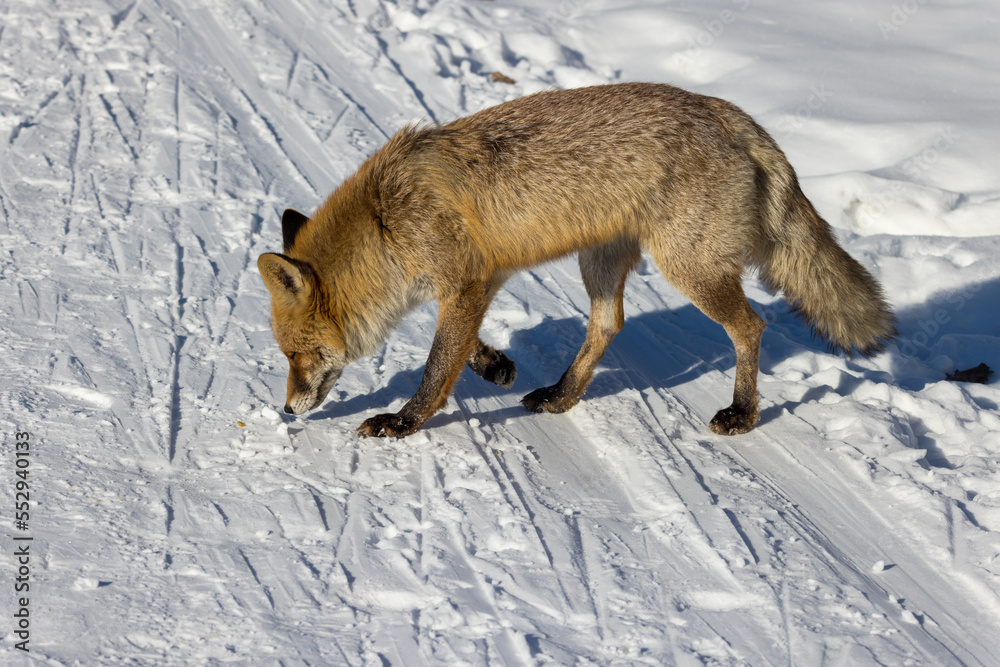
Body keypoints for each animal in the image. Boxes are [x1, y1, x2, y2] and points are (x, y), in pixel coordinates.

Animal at [257, 82, 895, 438]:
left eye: (294, 355)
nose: (286, 410)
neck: (386, 219)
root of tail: (726, 111)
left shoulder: (464, 280)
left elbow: (437, 367)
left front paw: (403, 422)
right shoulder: (475, 281)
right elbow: (462, 348)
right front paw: (494, 365)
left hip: (689, 269)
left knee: (752, 327)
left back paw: (742, 413)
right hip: (602, 262)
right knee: (609, 323)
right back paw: (561, 395)